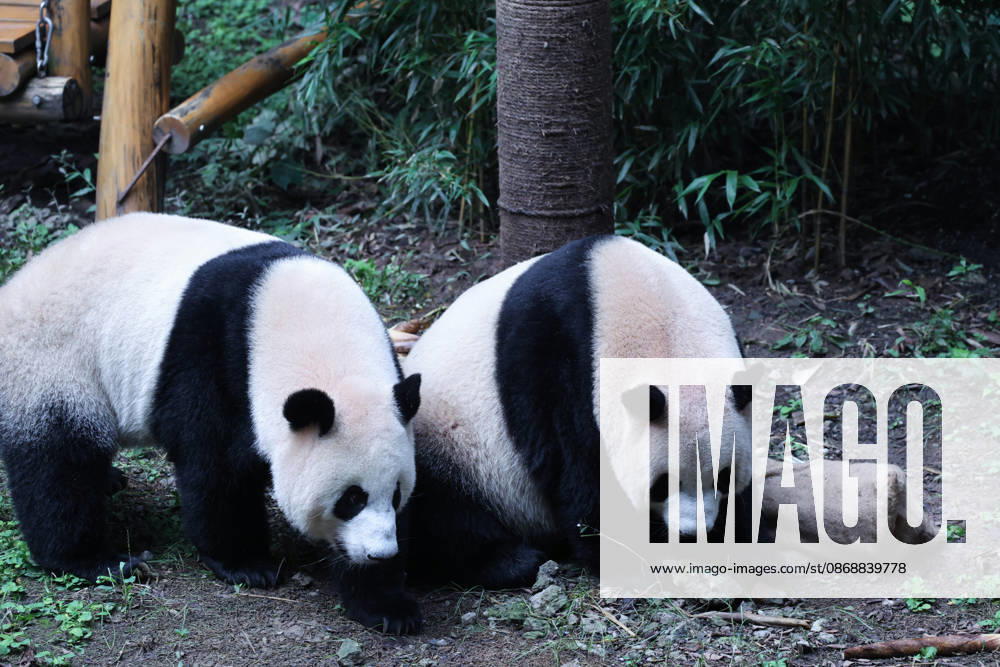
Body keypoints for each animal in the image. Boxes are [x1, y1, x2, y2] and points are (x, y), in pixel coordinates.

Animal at [0, 213, 422, 634]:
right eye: (351, 498)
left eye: (396, 493)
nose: (380, 553)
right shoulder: (215, 360)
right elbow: (216, 469)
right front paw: (248, 565)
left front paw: (387, 605)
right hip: (52, 362)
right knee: (59, 464)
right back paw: (95, 559)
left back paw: (110, 483)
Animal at [403, 235, 751, 587]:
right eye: (663, 484)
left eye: (724, 477)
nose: (693, 533)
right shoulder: (555, 365)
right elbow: (575, 469)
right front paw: (621, 554)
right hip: (448, 440)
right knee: (442, 512)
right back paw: (511, 561)